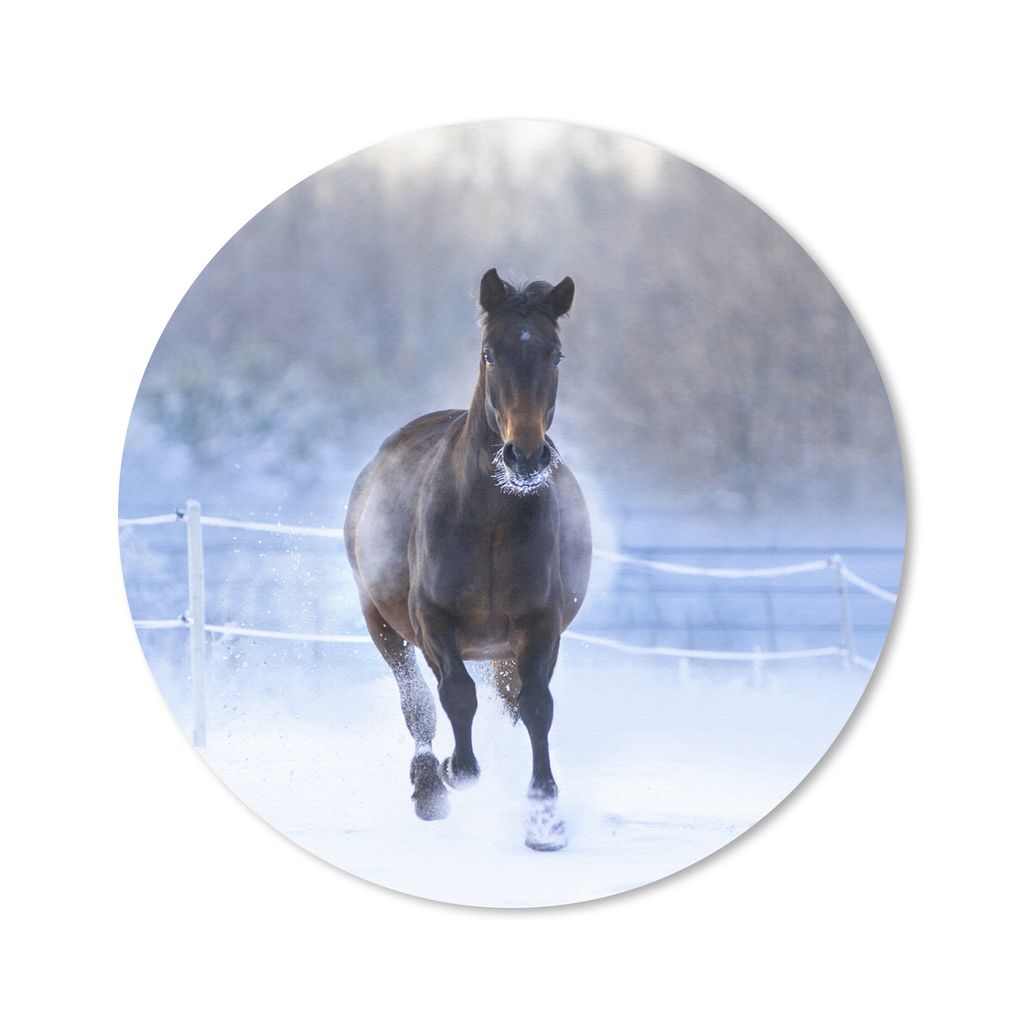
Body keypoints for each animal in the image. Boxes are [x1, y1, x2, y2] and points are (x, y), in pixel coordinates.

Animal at [344, 268, 592, 850]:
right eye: (490, 354)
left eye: (555, 355)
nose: (525, 457)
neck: (491, 521)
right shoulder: (433, 620)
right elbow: (456, 695)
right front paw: (458, 772)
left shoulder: (540, 624)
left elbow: (536, 706)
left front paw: (545, 818)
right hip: (381, 622)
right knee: (417, 700)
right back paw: (429, 786)